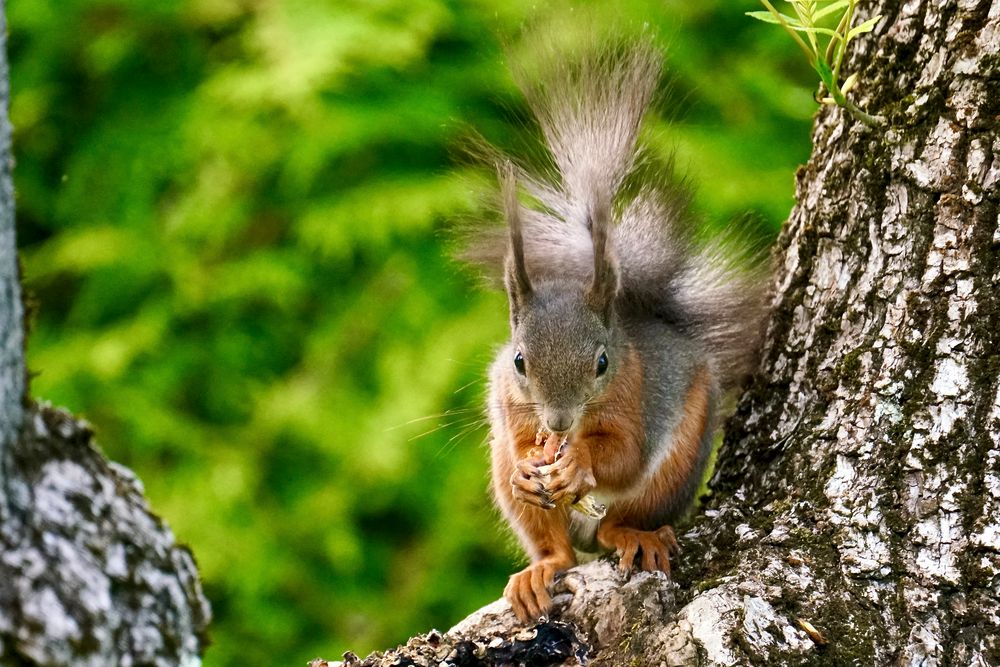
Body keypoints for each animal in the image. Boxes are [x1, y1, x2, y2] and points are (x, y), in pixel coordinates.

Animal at [462, 35, 772, 620]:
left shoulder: (637, 396)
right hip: (512, 492)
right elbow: (521, 442)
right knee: (557, 549)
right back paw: (539, 570)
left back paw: (632, 535)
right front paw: (530, 464)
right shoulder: (507, 400)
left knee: (618, 523)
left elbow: (625, 454)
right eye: (519, 360)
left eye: (603, 362)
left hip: (673, 471)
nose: (559, 422)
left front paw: (581, 460)